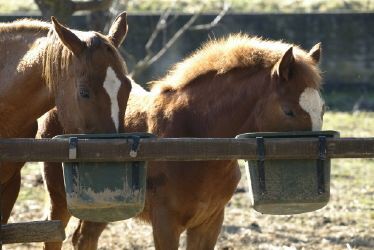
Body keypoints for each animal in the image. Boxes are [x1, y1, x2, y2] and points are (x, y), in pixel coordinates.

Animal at [39, 34, 322, 249]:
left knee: (84, 237)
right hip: (62, 198)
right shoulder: (166, 222)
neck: (195, 144)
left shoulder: (209, 223)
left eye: (322, 109)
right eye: (288, 111)